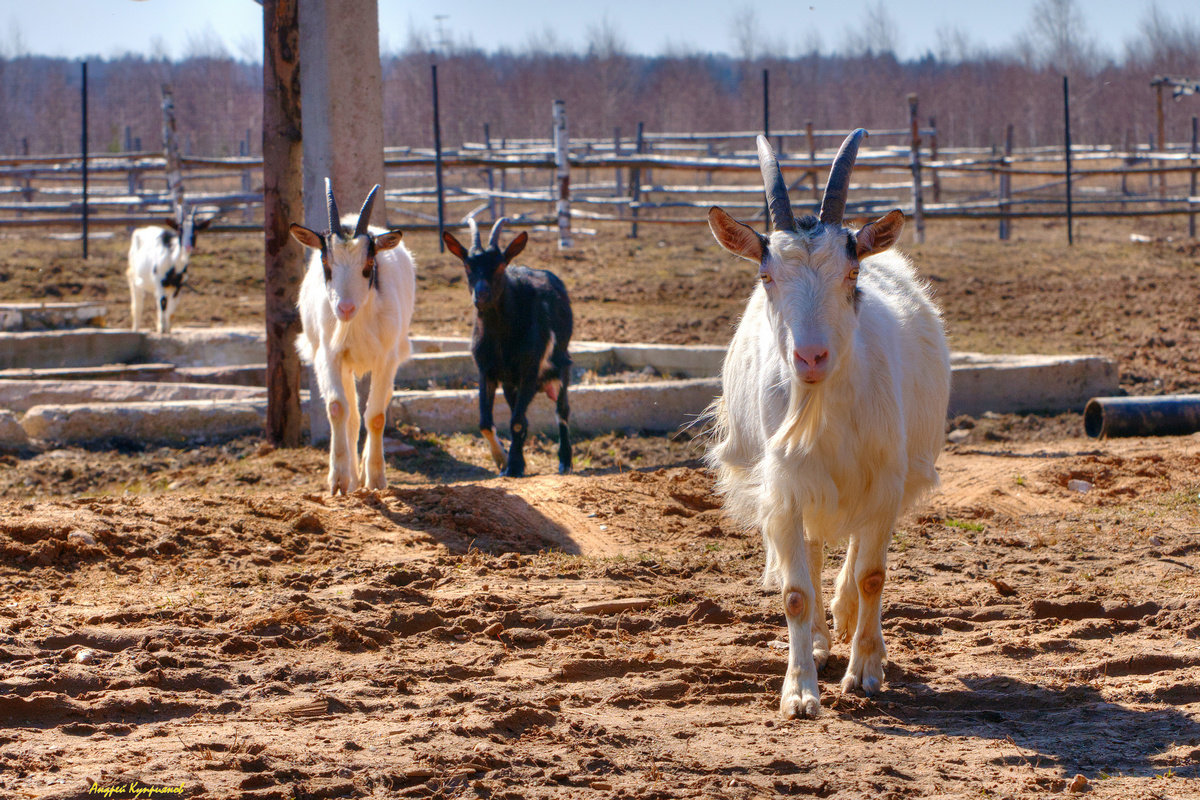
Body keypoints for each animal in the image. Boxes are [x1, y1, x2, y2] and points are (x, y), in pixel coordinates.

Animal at [289, 181, 417, 494]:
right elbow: (338, 408)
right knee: (352, 415)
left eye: (369, 261)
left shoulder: (386, 359)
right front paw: (338, 480)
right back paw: (352, 478)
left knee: (374, 407)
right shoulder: (329, 355)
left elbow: (377, 416)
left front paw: (377, 479)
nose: (344, 308)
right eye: (326, 260)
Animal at [444, 219, 573, 474]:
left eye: (500, 265)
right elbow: (486, 423)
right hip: (510, 383)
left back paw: (565, 461)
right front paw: (504, 460)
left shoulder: (529, 370)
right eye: (467, 265)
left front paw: (513, 465)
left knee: (561, 411)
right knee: (521, 413)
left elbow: (516, 422)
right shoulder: (487, 371)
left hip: (561, 367)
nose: (481, 295)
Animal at [705, 130, 950, 719]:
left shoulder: (886, 478)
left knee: (857, 554)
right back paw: (819, 635)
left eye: (851, 274)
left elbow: (872, 574)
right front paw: (799, 691)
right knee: (815, 550)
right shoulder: (784, 484)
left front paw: (865, 672)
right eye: (766, 276)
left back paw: (846, 618)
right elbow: (795, 591)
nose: (811, 357)